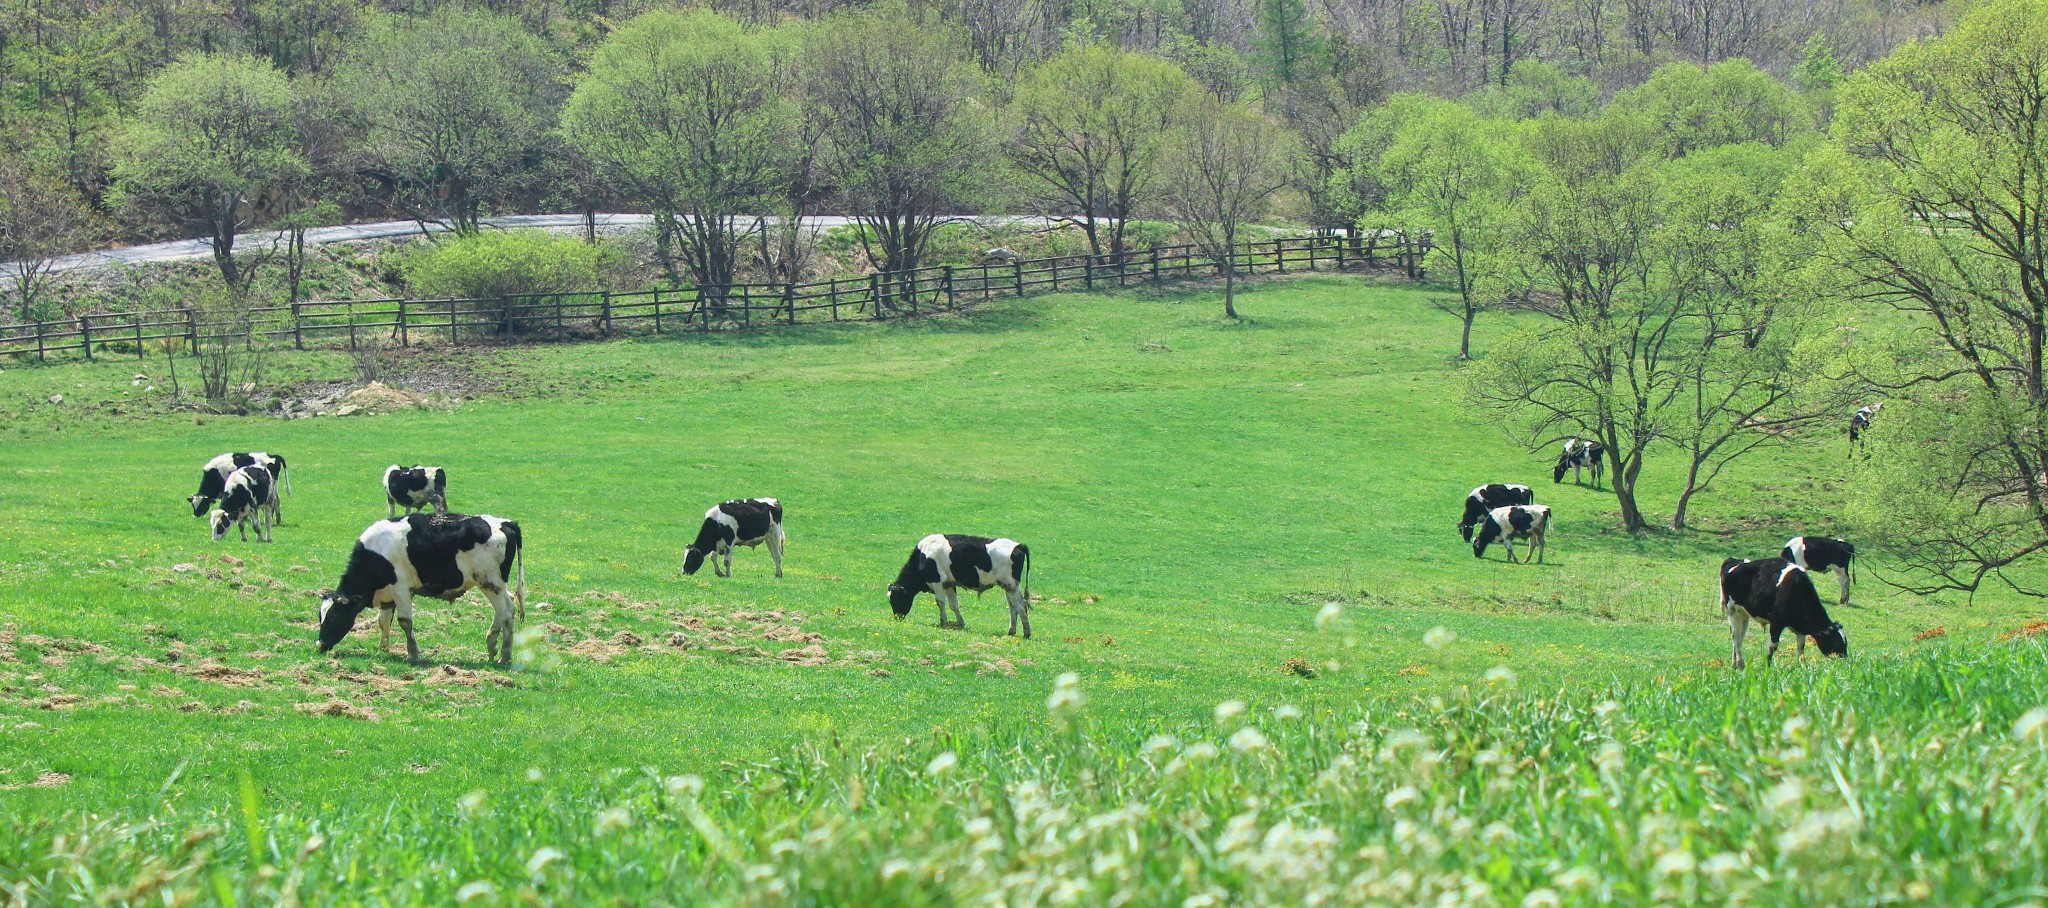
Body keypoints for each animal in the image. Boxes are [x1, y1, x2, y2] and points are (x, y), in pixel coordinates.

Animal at [315, 512, 528, 668]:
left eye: (334, 617)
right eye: (320, 617)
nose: (320, 644)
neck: (377, 552)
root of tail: (506, 523)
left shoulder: (401, 590)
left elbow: (405, 622)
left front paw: (413, 654)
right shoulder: (387, 595)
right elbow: (383, 622)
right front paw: (383, 649)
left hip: (490, 583)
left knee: (506, 613)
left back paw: (504, 656)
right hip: (496, 585)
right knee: (506, 606)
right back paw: (492, 646)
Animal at [888, 532, 1032, 639]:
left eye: (895, 599)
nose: (897, 617)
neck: (923, 555)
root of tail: (1019, 545)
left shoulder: (937, 582)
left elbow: (940, 603)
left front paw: (943, 622)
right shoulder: (949, 584)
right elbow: (954, 605)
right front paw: (960, 623)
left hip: (1011, 585)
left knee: (1021, 606)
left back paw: (1027, 633)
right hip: (1007, 586)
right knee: (1013, 607)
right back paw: (1011, 632)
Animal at [1720, 557, 1851, 672]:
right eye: (1835, 641)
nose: (1844, 661)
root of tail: (1733, 561)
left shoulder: (1800, 628)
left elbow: (1801, 646)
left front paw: (1802, 665)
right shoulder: (1776, 622)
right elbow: (1773, 646)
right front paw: (1767, 666)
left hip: (1744, 614)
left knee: (1740, 637)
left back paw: (1734, 664)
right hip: (1732, 610)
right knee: (1736, 637)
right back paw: (1740, 664)